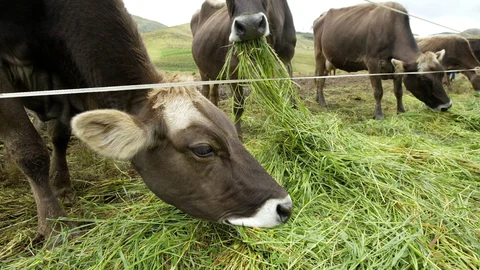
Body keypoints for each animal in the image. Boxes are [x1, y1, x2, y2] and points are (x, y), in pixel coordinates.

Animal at [190, 0, 296, 134]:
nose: (250, 25)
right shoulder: (233, 67)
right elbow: (238, 106)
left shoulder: (286, 62)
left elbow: (289, 95)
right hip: (202, 69)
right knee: (205, 91)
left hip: (215, 71)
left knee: (214, 93)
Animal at [314, 1, 452, 119]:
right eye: (424, 80)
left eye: (442, 75)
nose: (446, 106)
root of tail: (321, 16)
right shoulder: (372, 62)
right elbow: (378, 91)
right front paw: (378, 115)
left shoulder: (396, 68)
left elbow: (398, 91)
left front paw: (401, 111)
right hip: (319, 54)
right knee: (320, 79)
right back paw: (323, 103)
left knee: (320, 79)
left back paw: (317, 99)